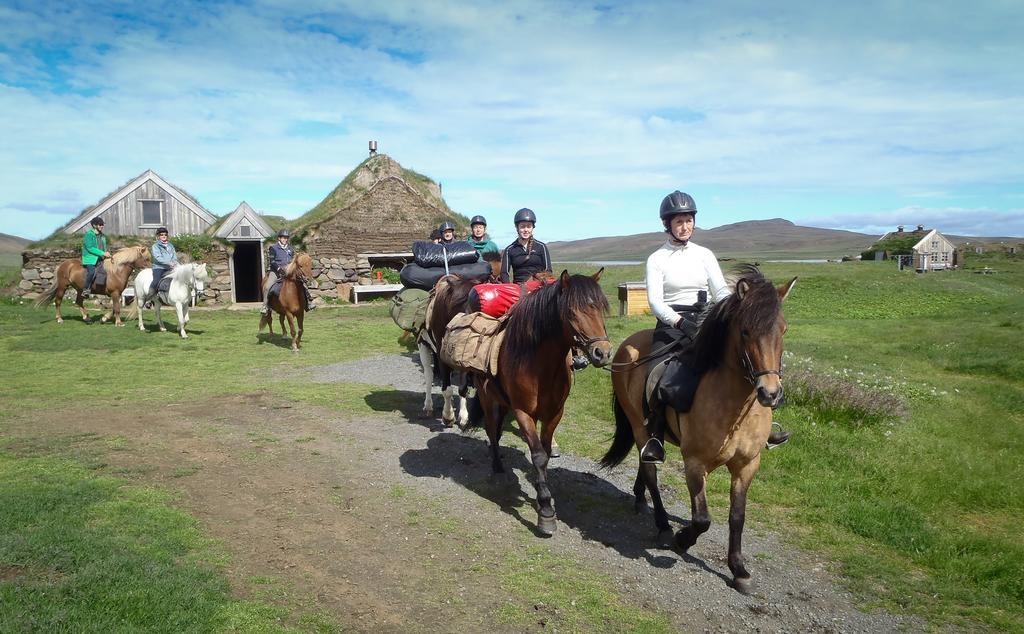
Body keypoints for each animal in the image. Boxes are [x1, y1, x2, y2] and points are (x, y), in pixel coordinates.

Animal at [468, 268, 610, 536]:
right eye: (571, 311)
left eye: (600, 308)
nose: (603, 353)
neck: (539, 366)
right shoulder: (524, 413)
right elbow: (538, 456)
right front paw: (545, 510)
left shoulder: (554, 414)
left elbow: (545, 452)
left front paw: (542, 490)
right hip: (487, 398)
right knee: (491, 430)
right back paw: (497, 468)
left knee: (497, 431)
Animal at [598, 266, 798, 594]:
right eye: (746, 331)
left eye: (783, 330)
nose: (770, 394)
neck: (734, 406)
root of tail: (627, 346)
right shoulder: (695, 464)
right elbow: (702, 518)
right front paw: (682, 540)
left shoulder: (747, 465)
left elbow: (737, 516)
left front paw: (739, 570)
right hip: (639, 426)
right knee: (651, 471)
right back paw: (663, 527)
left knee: (644, 461)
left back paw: (640, 499)